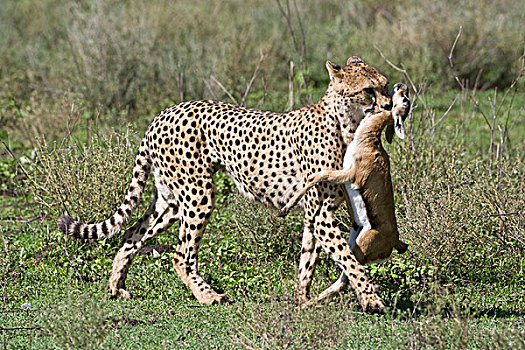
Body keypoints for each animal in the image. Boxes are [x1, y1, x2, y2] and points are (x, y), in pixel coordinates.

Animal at [59, 56, 398, 314]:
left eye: (384, 85)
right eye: (368, 90)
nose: (389, 105)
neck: (346, 124)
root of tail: (164, 112)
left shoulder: (314, 213)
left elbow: (308, 260)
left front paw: (302, 301)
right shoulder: (322, 212)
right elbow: (348, 259)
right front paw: (371, 299)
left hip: (170, 201)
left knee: (132, 235)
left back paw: (116, 286)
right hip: (198, 195)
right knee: (180, 255)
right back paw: (208, 296)